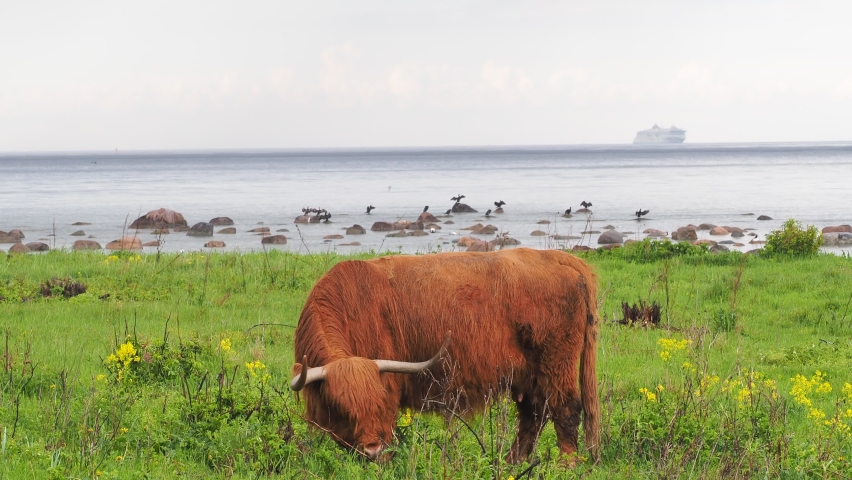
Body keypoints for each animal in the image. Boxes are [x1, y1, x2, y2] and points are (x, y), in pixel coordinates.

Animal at [290, 248, 600, 464]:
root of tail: (557, 257)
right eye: (341, 406)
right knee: (534, 414)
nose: (372, 449)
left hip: (556, 361)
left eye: (378, 402)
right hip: (528, 374)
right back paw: (511, 463)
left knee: (565, 409)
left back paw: (566, 466)